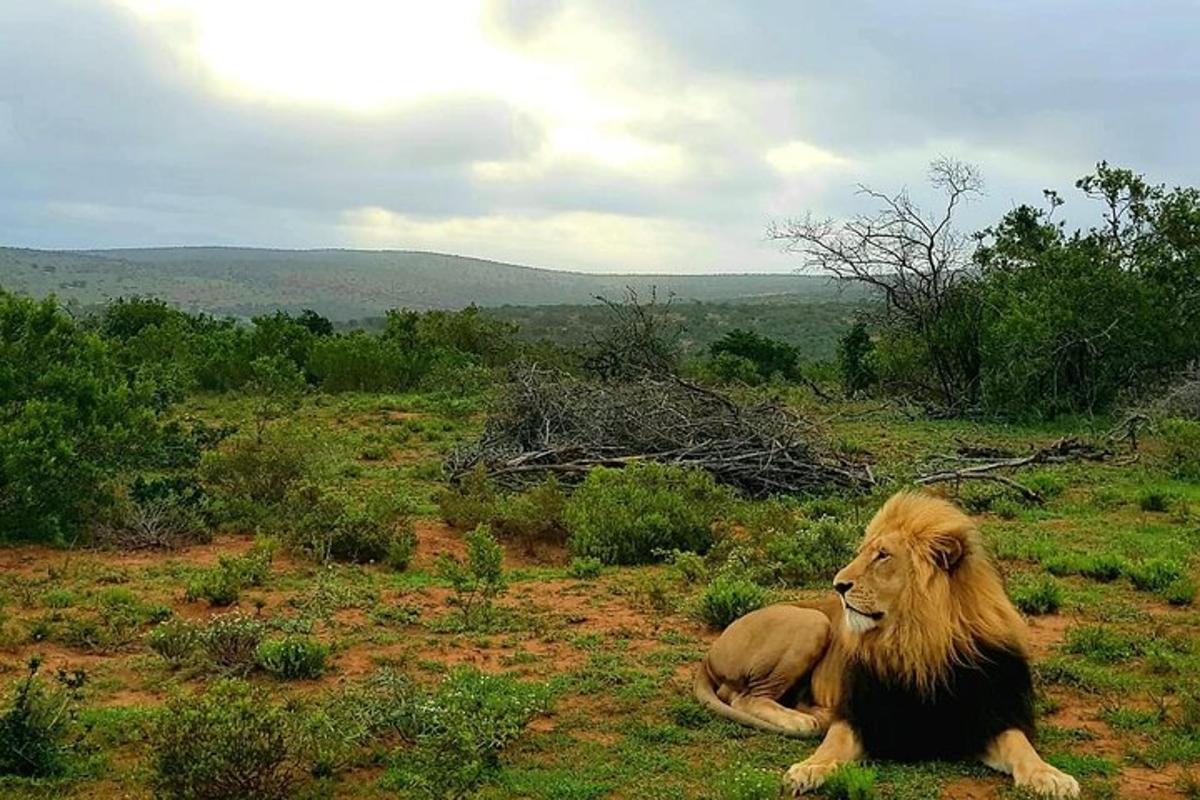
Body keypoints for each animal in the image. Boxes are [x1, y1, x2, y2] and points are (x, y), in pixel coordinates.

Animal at [696, 491, 1080, 796]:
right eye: (863, 552)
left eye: (882, 556)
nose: (838, 585)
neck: (920, 641)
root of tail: (709, 653)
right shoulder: (863, 715)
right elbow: (832, 745)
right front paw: (808, 768)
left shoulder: (987, 717)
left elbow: (1022, 747)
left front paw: (1052, 776)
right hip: (813, 622)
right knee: (744, 696)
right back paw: (801, 720)